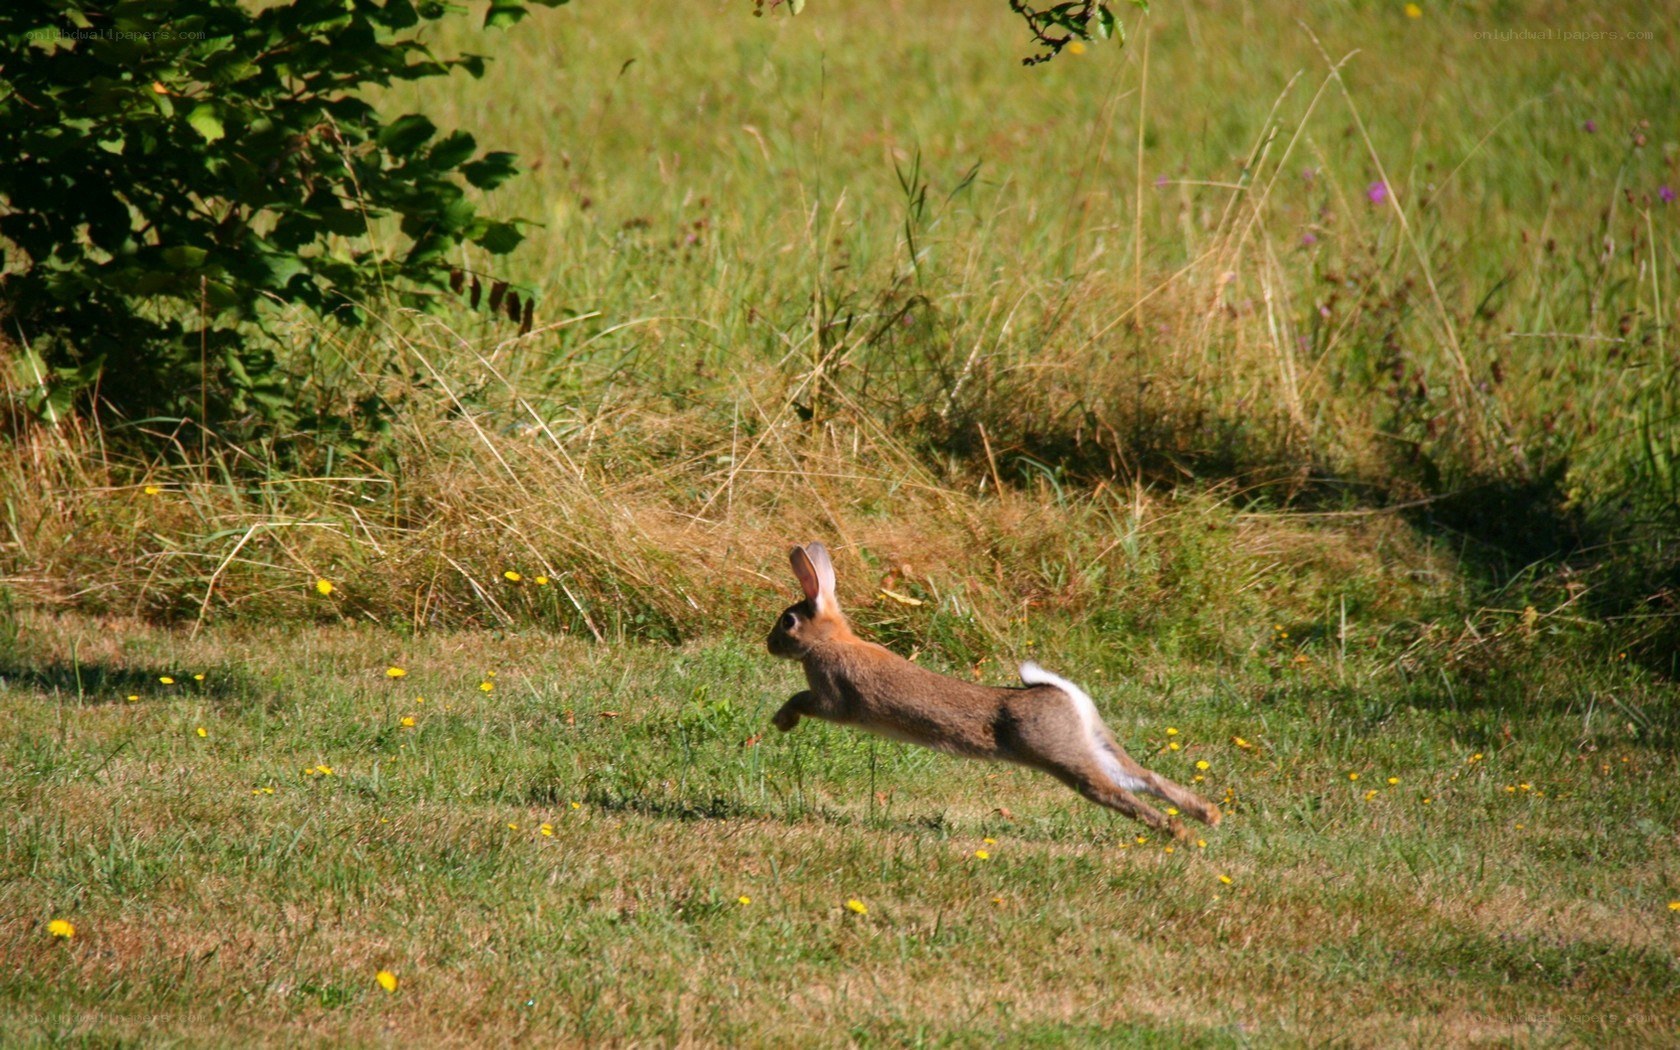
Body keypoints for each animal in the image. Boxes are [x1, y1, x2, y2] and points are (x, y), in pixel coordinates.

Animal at [767, 541, 1221, 838]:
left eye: (788, 621)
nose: (769, 644)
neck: (830, 640)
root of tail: (1062, 696)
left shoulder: (831, 697)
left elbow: (803, 700)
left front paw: (780, 721)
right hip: (1092, 743)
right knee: (1143, 776)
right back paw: (1209, 815)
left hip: (1060, 755)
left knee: (1115, 793)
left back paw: (1178, 833)